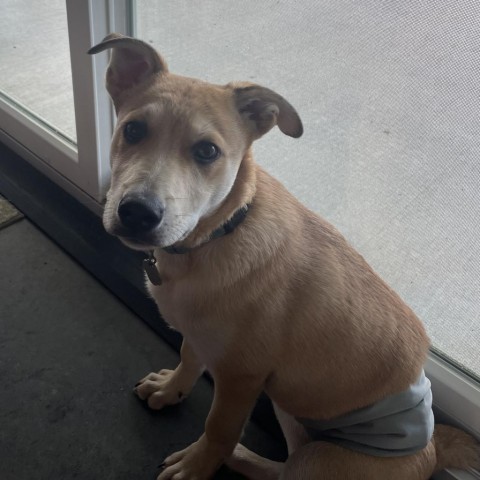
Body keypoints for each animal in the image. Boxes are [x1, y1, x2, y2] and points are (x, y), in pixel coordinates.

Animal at [88, 34, 478, 480]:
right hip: (289, 410)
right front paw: (171, 390)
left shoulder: (241, 377)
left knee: (288, 466)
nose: (138, 213)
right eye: (133, 129)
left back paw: (233, 456)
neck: (216, 235)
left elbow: (218, 427)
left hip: (318, 454)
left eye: (207, 152)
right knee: (283, 464)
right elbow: (188, 359)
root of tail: (430, 453)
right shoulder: (201, 337)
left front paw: (199, 464)